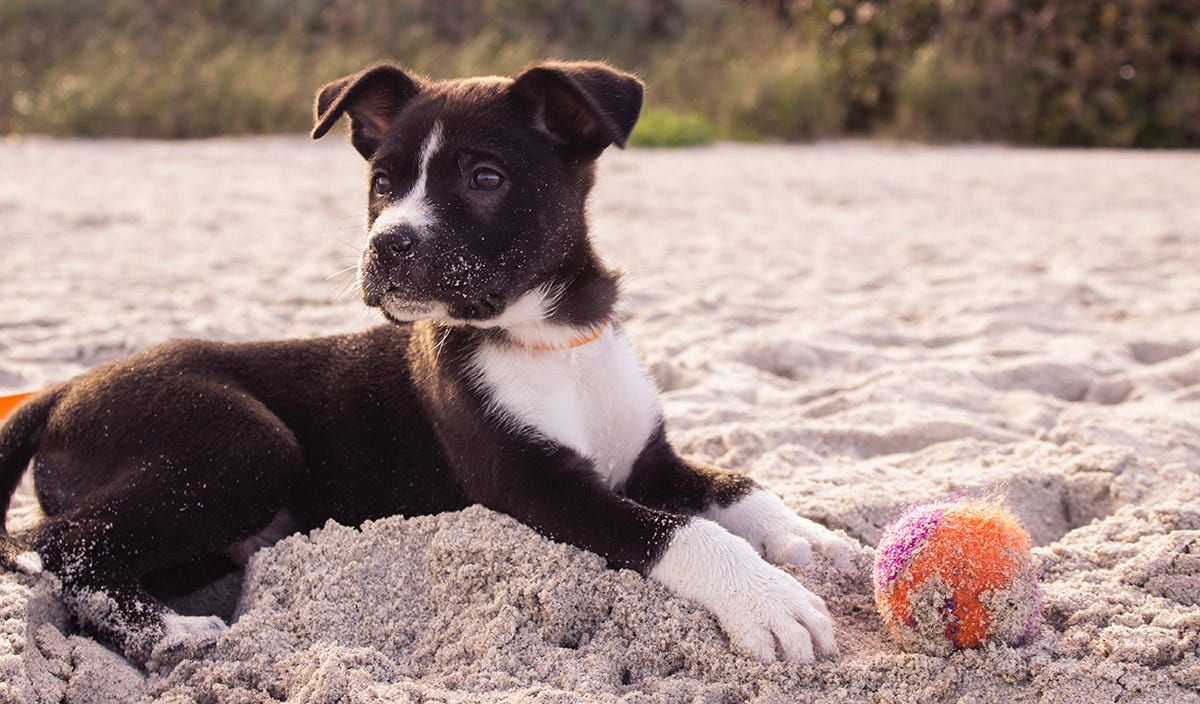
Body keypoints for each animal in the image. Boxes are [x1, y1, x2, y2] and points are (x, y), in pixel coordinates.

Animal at [0, 60, 854, 666]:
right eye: (382, 183)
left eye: (486, 178)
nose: (387, 245)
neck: (547, 338)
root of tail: (65, 389)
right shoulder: (533, 486)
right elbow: (679, 531)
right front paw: (767, 600)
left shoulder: (647, 458)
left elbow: (736, 484)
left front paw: (812, 536)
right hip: (246, 445)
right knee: (58, 546)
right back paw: (170, 636)